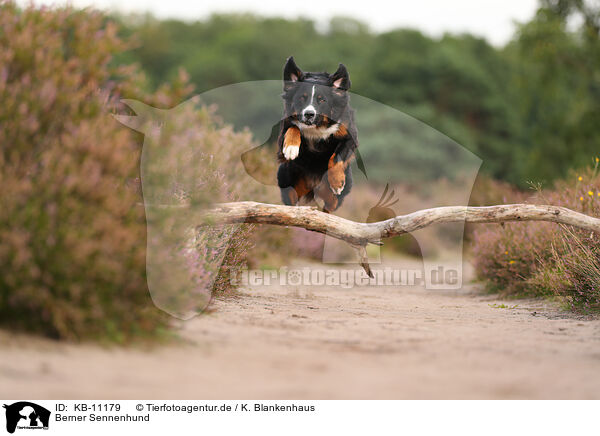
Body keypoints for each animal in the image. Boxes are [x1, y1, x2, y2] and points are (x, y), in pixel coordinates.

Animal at [278, 56, 358, 213]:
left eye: (322, 100)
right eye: (301, 98)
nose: (309, 114)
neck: (317, 126)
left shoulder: (349, 136)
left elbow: (336, 156)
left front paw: (337, 182)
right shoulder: (285, 128)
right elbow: (294, 128)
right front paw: (291, 148)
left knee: (330, 205)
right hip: (286, 174)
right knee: (291, 198)